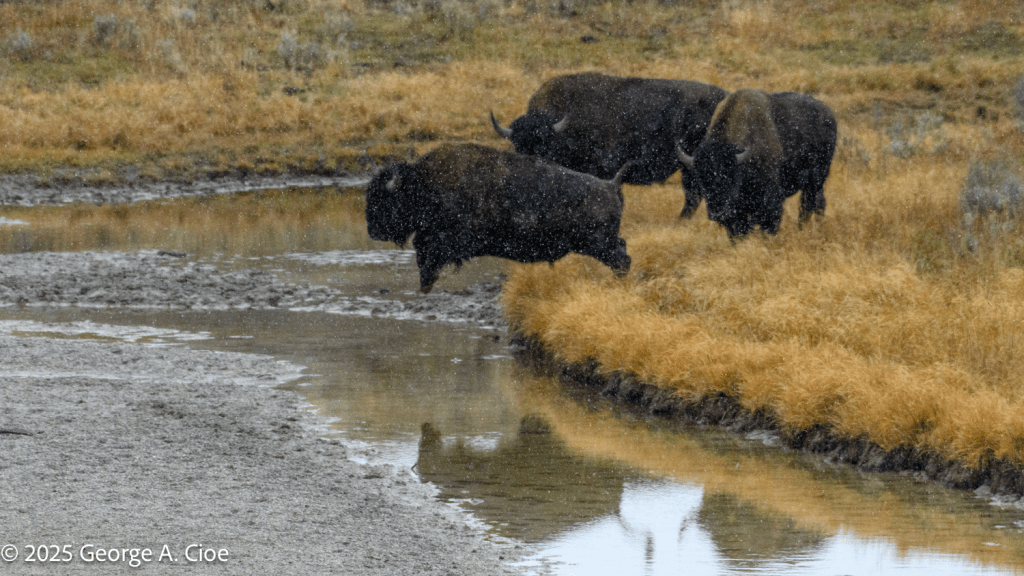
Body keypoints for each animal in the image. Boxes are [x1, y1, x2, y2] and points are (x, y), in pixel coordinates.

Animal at [365, 143, 631, 293]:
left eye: (384, 200)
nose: (372, 231)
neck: (424, 185)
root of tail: (611, 185)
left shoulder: (438, 244)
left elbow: (427, 264)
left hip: (598, 244)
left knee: (622, 259)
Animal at [677, 89, 837, 237]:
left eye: (731, 178)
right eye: (701, 180)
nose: (718, 214)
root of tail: (829, 115)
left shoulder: (771, 200)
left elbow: (769, 224)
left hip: (816, 178)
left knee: (807, 204)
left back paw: (804, 229)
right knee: (819, 202)